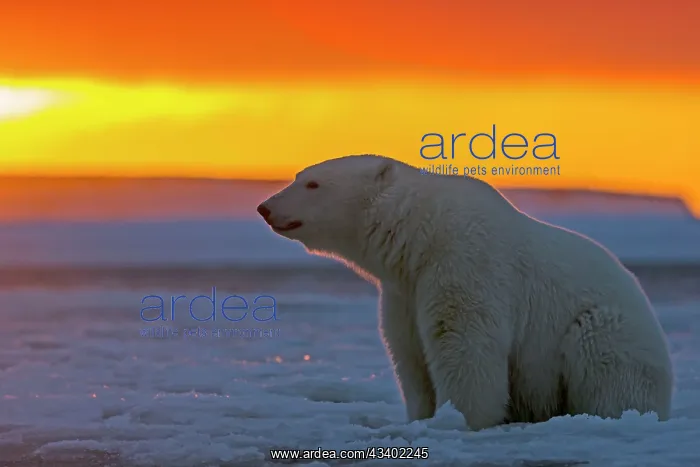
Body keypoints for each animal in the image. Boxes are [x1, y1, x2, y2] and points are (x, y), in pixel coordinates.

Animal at [256, 154, 674, 430]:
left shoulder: (465, 262)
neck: (421, 234)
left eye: (312, 183)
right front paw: (420, 418)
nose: (265, 207)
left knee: (605, 365)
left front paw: (463, 419)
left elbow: (462, 342)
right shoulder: (403, 290)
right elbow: (409, 353)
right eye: (298, 174)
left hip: (607, 329)